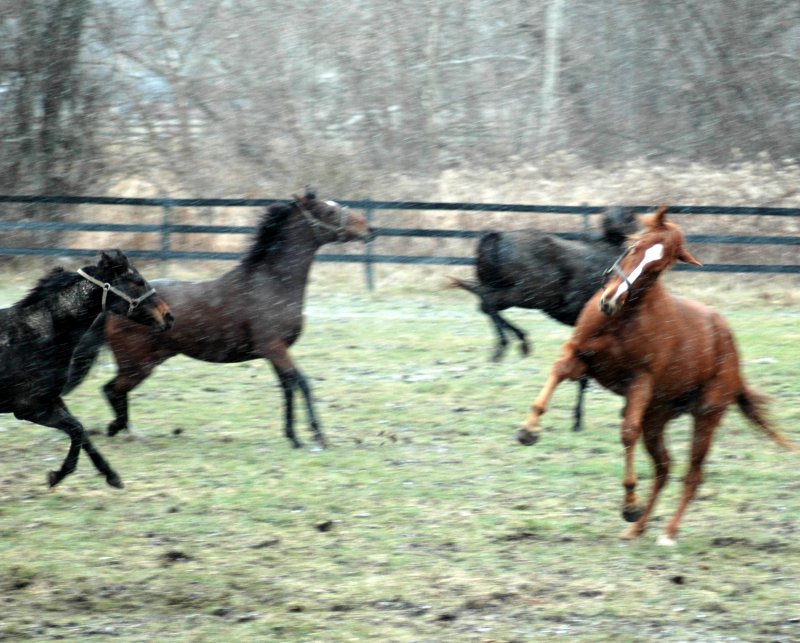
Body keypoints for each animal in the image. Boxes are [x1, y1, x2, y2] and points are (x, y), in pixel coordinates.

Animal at [1, 252, 172, 488]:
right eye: (138, 281)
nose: (168, 316)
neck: (36, 335)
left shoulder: (54, 401)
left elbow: (82, 434)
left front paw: (112, 476)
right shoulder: (31, 408)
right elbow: (77, 429)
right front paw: (57, 475)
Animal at [65, 189, 372, 450]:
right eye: (329, 212)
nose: (369, 229)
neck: (273, 283)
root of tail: (111, 309)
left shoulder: (276, 352)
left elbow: (288, 386)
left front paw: (293, 437)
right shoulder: (274, 347)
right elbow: (302, 383)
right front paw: (317, 436)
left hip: (144, 363)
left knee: (113, 391)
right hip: (138, 364)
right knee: (111, 390)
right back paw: (121, 430)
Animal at [450, 209, 636, 432]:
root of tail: (495, 237)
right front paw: (578, 421)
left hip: (512, 291)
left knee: (484, 302)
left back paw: (514, 343)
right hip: (525, 294)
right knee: (488, 303)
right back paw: (510, 345)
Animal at [516, 208, 796, 548]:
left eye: (658, 267)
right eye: (635, 247)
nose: (610, 301)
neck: (622, 319)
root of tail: (729, 344)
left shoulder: (640, 381)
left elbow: (627, 432)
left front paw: (629, 504)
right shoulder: (579, 358)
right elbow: (557, 372)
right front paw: (528, 430)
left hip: (707, 415)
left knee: (692, 474)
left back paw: (667, 532)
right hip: (657, 417)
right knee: (663, 469)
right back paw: (636, 528)